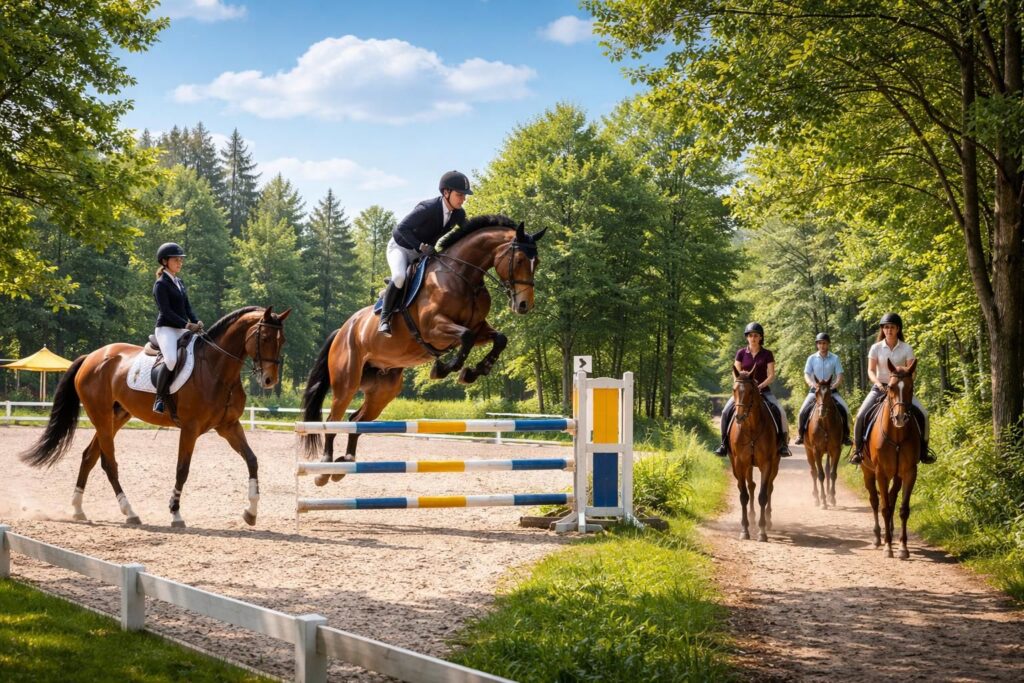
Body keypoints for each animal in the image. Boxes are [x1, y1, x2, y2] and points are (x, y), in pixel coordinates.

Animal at [19, 306, 290, 528]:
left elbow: (252, 460)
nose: (269, 380)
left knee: (89, 456)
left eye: (282, 341)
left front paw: (251, 512)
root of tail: (92, 357)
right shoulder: (190, 428)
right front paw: (175, 513)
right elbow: (182, 469)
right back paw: (129, 512)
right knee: (109, 463)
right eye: (264, 338)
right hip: (101, 416)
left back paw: (78, 510)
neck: (216, 368)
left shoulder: (228, 426)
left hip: (115, 418)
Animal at [301, 215, 545, 485]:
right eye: (520, 260)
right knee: (333, 421)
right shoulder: (433, 329)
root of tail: (343, 330)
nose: (524, 305)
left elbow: (499, 339)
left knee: (355, 421)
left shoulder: (480, 327)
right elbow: (466, 338)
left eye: (537, 262)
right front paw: (443, 369)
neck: (464, 277)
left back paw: (345, 463)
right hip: (347, 382)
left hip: (383, 390)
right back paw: (324, 469)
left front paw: (473, 372)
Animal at [727, 368, 780, 541]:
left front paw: (762, 531)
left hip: (775, 464)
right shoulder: (739, 463)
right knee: (750, 486)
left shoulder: (767, 464)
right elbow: (743, 495)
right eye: (734, 390)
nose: (739, 417)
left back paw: (768, 521)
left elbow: (763, 496)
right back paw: (751, 517)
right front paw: (744, 529)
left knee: (769, 487)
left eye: (751, 391)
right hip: (744, 466)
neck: (750, 427)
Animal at [805, 376, 842, 509]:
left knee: (827, 471)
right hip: (809, 451)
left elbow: (832, 473)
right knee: (814, 472)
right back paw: (817, 497)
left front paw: (832, 498)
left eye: (829, 392)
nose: (822, 411)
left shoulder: (836, 450)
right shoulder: (816, 450)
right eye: (816, 392)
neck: (825, 424)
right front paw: (823, 501)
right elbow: (820, 475)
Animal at [861, 358, 920, 559]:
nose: (900, 417)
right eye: (892, 387)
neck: (897, 436)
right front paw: (887, 547)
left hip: (897, 476)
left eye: (911, 387)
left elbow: (903, 509)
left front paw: (903, 547)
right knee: (874, 501)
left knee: (892, 497)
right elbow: (885, 508)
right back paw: (878, 537)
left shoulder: (909, 472)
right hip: (868, 472)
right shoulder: (881, 473)